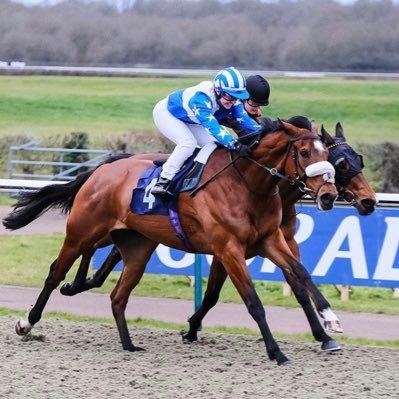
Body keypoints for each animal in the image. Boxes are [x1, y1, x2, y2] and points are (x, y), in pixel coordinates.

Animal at [3, 121, 340, 366]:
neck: (247, 184)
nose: (328, 195)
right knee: (54, 273)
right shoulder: (229, 248)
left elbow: (301, 273)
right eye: (305, 153)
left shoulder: (269, 241)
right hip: (82, 232)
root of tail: (100, 171)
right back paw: (28, 322)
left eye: (328, 155)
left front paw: (330, 320)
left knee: (118, 295)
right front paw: (277, 352)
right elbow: (253, 303)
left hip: (136, 247)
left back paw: (128, 344)